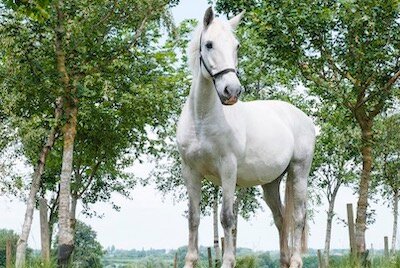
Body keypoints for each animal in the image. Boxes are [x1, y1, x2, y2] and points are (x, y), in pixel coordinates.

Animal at [177, 6, 314, 268]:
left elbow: (227, 217)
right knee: (281, 217)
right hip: (271, 182)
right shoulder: (191, 172)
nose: (232, 91)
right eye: (209, 44)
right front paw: (190, 261)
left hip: (299, 171)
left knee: (298, 216)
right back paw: (283, 260)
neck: (202, 119)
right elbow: (193, 218)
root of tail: (303, 118)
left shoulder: (228, 169)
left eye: (236, 46)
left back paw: (295, 260)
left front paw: (228, 261)